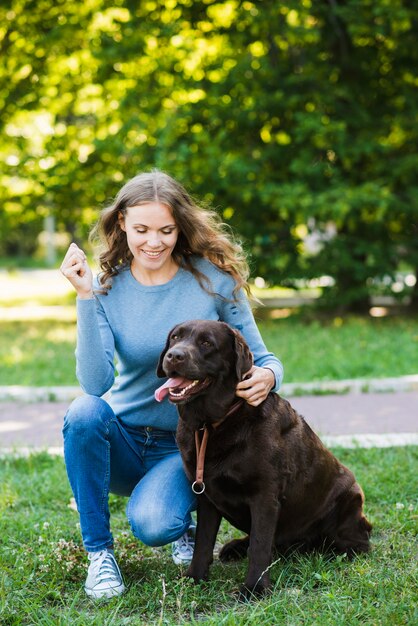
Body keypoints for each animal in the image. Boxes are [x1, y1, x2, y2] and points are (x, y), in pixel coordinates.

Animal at [155, 320, 370, 596]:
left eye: (206, 343)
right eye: (175, 338)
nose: (174, 355)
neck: (213, 423)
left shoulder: (264, 495)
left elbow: (259, 545)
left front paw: (254, 589)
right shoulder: (206, 496)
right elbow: (203, 541)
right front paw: (195, 577)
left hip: (348, 498)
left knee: (357, 542)